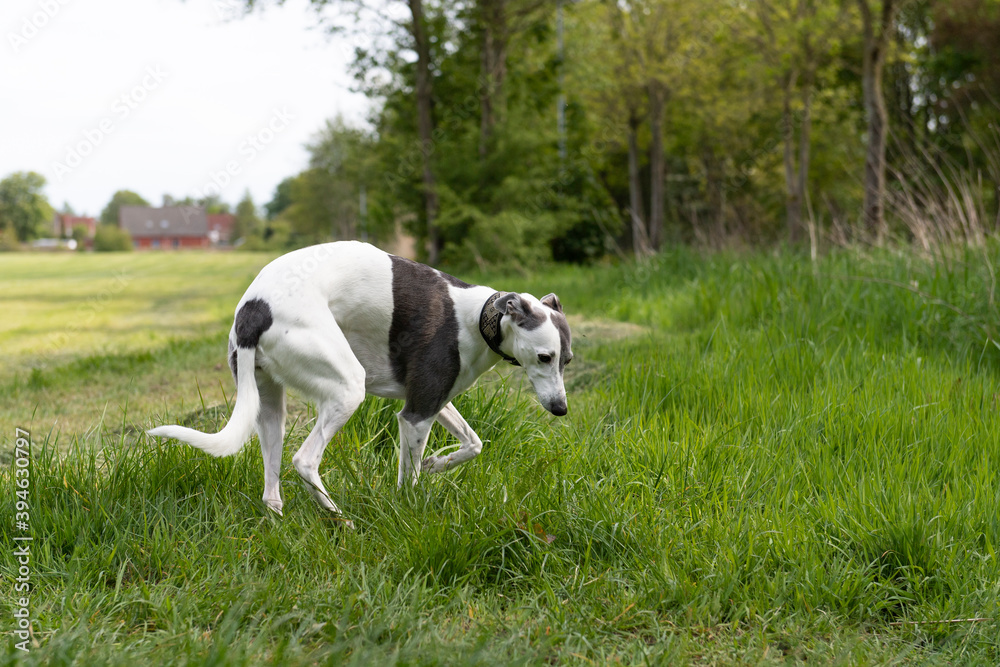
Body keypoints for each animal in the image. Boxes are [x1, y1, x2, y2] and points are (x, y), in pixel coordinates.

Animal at [146, 241, 572, 520]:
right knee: (304, 460)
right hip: (348, 388)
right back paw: (339, 518)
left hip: (268, 407)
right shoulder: (416, 414)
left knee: (272, 486)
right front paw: (410, 508)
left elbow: (474, 443)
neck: (478, 316)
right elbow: (409, 478)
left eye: (566, 360)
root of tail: (254, 310)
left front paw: (436, 462)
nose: (560, 409)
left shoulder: (431, 399)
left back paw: (281, 520)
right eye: (544, 357)